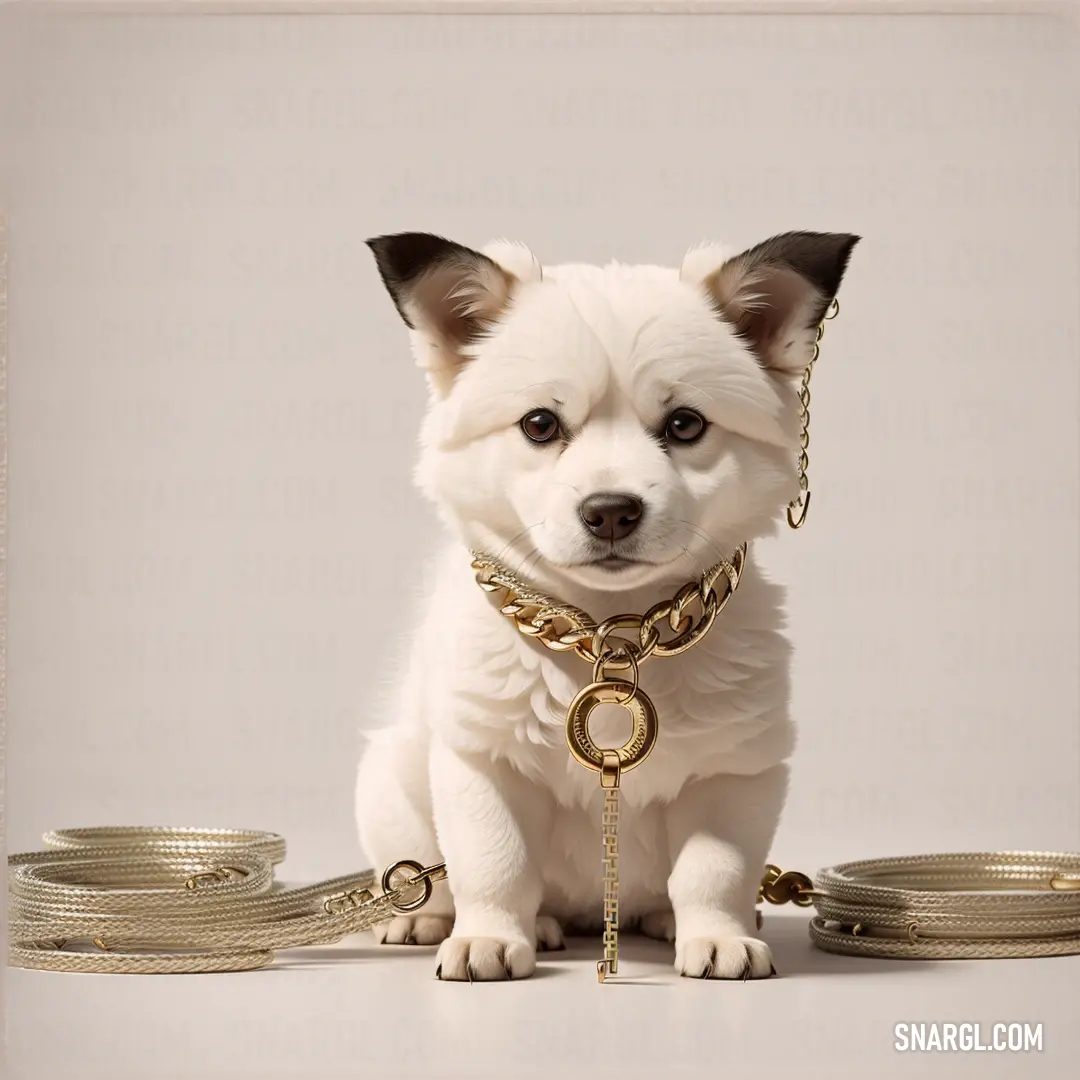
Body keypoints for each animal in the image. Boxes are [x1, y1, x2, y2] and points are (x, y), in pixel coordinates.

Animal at [358, 232, 855, 984]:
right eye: (539, 424)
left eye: (685, 424)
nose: (612, 511)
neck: (609, 633)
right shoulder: (484, 761)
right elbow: (494, 863)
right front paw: (488, 937)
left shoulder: (735, 770)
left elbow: (714, 870)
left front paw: (719, 936)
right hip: (387, 783)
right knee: (424, 874)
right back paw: (436, 919)